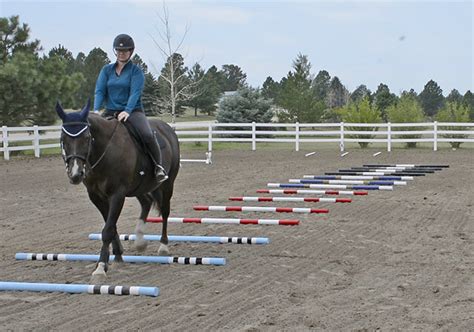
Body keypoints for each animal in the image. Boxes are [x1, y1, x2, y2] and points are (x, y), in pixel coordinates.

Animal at [55, 99, 181, 280]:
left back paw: (163, 246)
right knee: (146, 203)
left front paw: (100, 267)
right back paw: (140, 240)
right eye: (63, 139)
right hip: (139, 187)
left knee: (164, 211)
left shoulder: (117, 194)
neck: (105, 151)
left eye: (86, 138)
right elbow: (111, 225)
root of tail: (168, 128)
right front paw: (117, 255)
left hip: (167, 184)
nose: (75, 174)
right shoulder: (96, 196)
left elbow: (108, 229)